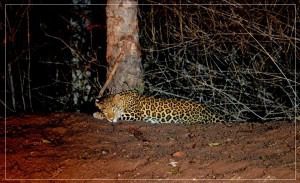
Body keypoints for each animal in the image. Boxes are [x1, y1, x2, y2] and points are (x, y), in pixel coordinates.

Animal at [92, 91, 224, 124]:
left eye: (114, 108)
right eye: (105, 110)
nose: (110, 118)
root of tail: (210, 110)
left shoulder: (135, 114)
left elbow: (121, 116)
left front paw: (97, 115)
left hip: (188, 116)